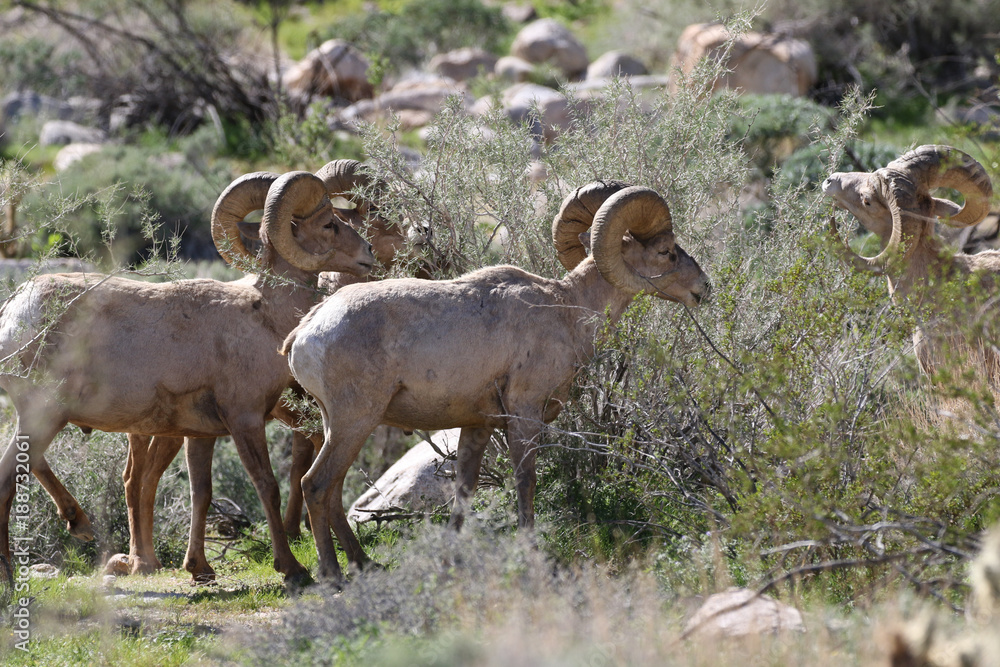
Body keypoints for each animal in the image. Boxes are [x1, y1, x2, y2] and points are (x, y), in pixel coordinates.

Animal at [0, 168, 375, 584]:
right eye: (328, 224)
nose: (369, 255)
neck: (263, 315)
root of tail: (15, 311)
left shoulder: (202, 433)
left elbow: (203, 492)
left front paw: (200, 569)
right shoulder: (244, 419)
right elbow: (267, 486)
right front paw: (293, 571)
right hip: (45, 415)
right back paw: (51, 546)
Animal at [282, 180, 711, 580]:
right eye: (666, 251)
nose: (703, 288)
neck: (566, 310)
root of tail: (306, 332)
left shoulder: (478, 426)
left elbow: (464, 492)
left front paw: (450, 561)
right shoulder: (524, 414)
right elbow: (526, 481)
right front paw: (531, 554)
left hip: (336, 426)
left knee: (333, 492)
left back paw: (364, 564)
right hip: (354, 422)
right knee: (316, 486)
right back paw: (333, 575)